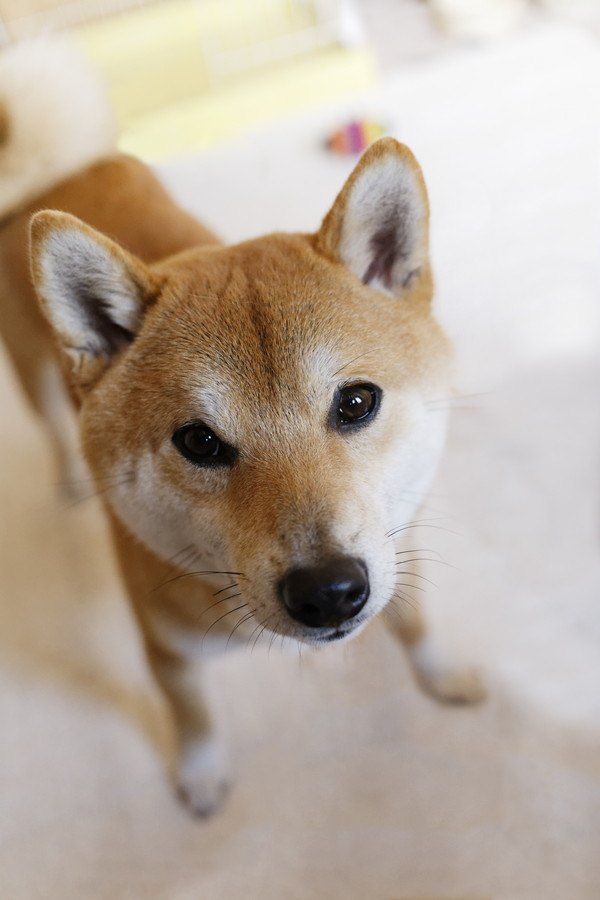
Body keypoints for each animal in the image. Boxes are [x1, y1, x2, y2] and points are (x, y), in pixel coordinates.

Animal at [0, 40, 482, 816]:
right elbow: (194, 715)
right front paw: (200, 777)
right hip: (35, 380)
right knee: (50, 429)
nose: (328, 591)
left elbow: (415, 621)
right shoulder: (167, 648)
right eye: (198, 441)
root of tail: (60, 171)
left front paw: (441, 675)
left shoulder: (396, 545)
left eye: (356, 403)